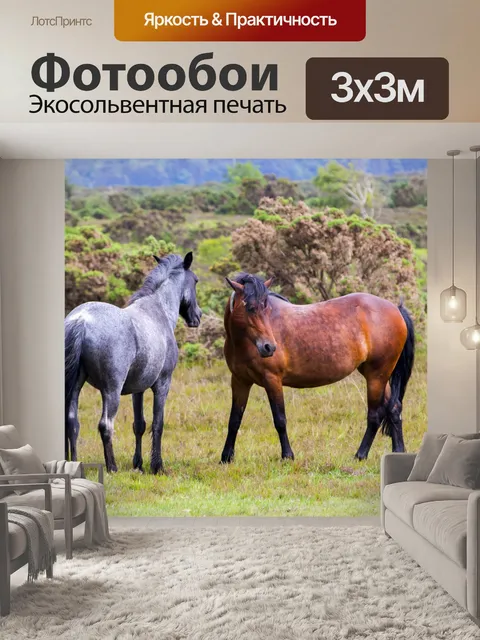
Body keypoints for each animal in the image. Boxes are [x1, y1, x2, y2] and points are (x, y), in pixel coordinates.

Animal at [64, 252, 202, 474]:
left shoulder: (138, 389)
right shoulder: (162, 384)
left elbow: (139, 425)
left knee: (72, 422)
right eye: (196, 280)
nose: (197, 316)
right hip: (111, 390)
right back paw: (112, 467)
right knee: (105, 425)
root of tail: (82, 321)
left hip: (76, 385)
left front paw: (139, 464)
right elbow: (158, 424)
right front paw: (157, 466)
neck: (159, 311)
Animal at [221, 273, 415, 464]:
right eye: (251, 308)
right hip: (378, 375)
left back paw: (360, 455)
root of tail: (396, 309)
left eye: (267, 309)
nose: (269, 347)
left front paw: (287, 456)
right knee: (394, 408)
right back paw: (397, 451)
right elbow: (234, 420)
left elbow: (280, 419)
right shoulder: (239, 381)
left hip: (377, 376)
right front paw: (226, 457)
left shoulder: (272, 380)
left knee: (375, 415)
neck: (244, 343)